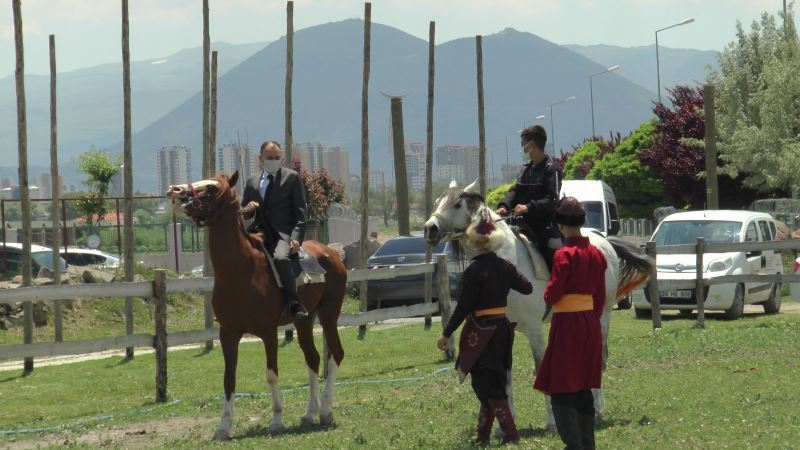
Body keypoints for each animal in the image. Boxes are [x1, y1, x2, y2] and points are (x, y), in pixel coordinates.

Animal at [167, 170, 346, 440]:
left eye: (211, 187)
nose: (175, 190)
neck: (241, 271)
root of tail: (332, 253)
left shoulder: (268, 332)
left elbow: (271, 375)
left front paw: (277, 420)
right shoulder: (228, 334)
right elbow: (228, 377)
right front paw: (224, 426)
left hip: (328, 314)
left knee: (335, 354)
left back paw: (325, 410)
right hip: (304, 320)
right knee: (313, 359)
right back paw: (309, 414)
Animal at [422, 178, 652, 430]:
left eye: (457, 204)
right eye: (438, 201)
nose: (430, 229)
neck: (504, 259)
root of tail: (604, 242)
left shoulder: (534, 330)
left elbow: (540, 367)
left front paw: (552, 422)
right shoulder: (504, 330)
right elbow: (505, 374)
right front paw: (506, 423)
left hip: (601, 316)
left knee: (599, 357)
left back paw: (597, 409)